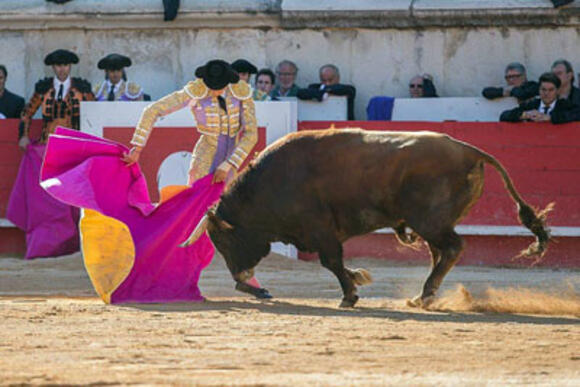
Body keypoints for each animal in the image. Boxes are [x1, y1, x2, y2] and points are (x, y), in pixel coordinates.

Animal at [182, 130, 552, 310]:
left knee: (452, 248)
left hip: (430, 221)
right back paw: (424, 296)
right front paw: (357, 281)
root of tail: (468, 150)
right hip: (432, 224)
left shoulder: (321, 230)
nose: (242, 280)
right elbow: (336, 263)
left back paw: (425, 296)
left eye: (225, 240)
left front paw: (349, 294)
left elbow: (331, 262)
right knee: (441, 253)